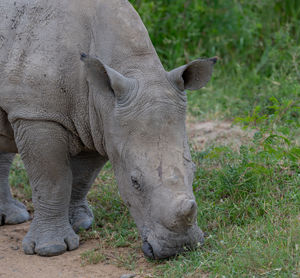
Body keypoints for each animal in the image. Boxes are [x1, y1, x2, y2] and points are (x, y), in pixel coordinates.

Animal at [0, 0, 217, 258]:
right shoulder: (36, 113)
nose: (180, 248)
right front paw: (51, 249)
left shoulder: (98, 122)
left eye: (193, 170)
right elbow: (52, 179)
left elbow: (83, 177)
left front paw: (80, 223)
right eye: (135, 182)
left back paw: (11, 217)